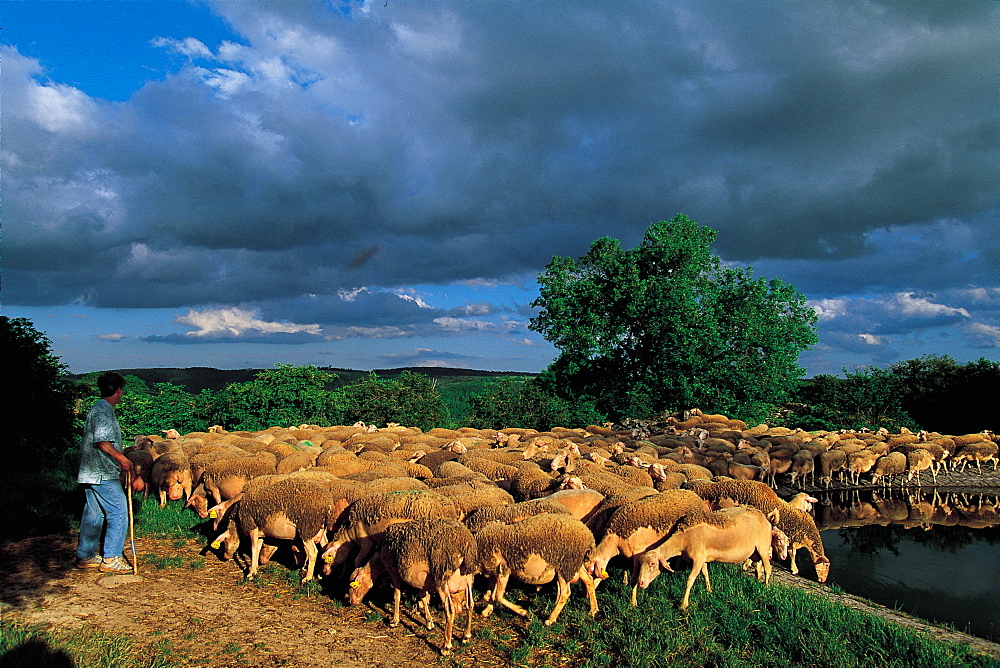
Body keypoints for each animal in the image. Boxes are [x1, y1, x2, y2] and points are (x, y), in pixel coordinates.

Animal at [350, 520, 478, 656]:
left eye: (353, 585)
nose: (351, 602)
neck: (379, 558)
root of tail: (465, 545)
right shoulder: (421, 580)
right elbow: (423, 598)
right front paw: (429, 622)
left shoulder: (393, 570)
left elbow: (397, 595)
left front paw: (394, 620)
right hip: (468, 578)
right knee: (470, 604)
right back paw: (466, 635)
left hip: (441, 578)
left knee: (449, 609)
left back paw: (446, 646)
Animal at [636, 506, 784, 612]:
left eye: (653, 564)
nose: (641, 583)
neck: (682, 540)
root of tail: (764, 517)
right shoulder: (703, 559)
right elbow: (705, 573)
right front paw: (709, 590)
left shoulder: (698, 559)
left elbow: (690, 580)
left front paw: (683, 605)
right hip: (756, 551)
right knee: (760, 564)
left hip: (763, 548)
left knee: (768, 569)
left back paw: (766, 588)